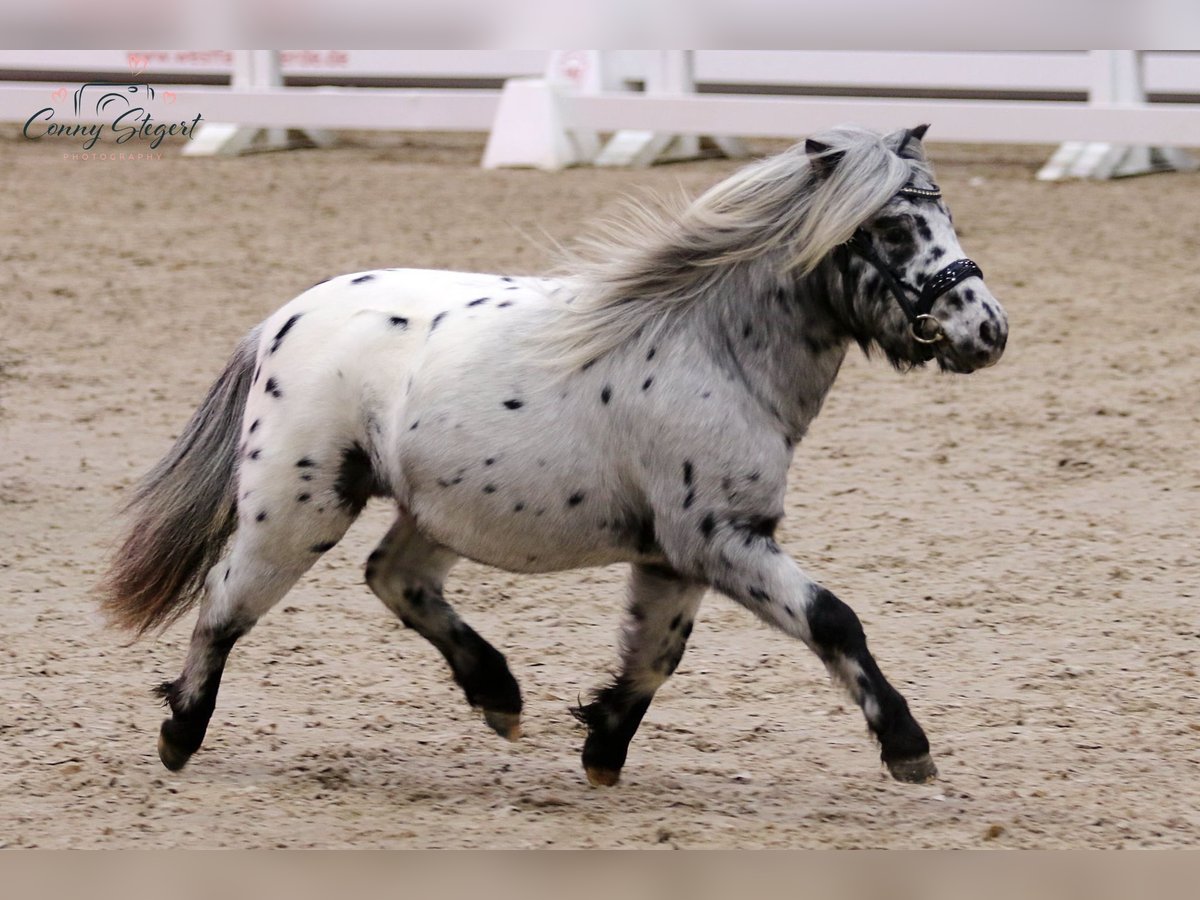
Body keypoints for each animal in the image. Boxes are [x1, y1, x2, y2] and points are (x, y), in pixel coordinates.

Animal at [100, 125, 1003, 787]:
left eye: (947, 212)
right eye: (893, 227)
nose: (986, 329)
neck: (713, 350)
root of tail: (282, 320)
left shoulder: (680, 554)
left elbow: (656, 656)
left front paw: (602, 747)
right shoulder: (719, 539)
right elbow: (831, 618)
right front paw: (908, 746)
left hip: (433, 509)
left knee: (395, 578)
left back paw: (498, 694)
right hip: (297, 509)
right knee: (225, 603)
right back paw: (181, 732)